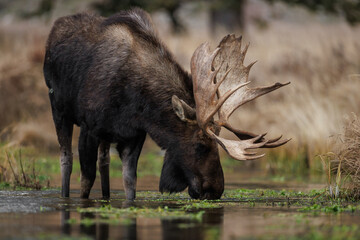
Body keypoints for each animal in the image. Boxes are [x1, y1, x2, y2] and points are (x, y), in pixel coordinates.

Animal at [44, 7, 290, 201]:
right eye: (200, 145)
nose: (216, 190)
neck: (136, 102)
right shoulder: (89, 128)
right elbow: (85, 181)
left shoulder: (133, 135)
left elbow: (129, 182)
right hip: (58, 109)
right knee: (66, 159)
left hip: (104, 135)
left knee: (104, 161)